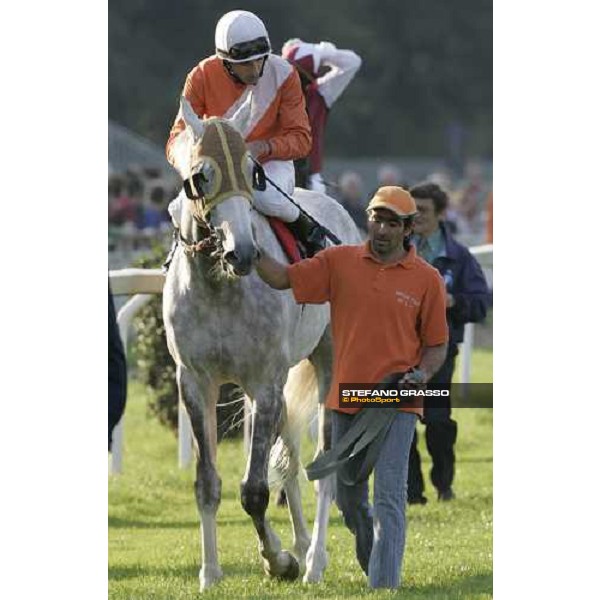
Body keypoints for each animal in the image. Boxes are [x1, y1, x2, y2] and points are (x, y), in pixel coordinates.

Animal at [162, 96, 360, 588]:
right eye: (201, 175)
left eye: (253, 171)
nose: (244, 253)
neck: (219, 284)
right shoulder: (197, 382)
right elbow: (208, 482)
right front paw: (210, 572)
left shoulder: (263, 381)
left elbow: (253, 490)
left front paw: (278, 560)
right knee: (288, 455)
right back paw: (303, 544)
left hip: (327, 363)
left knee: (322, 464)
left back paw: (314, 561)